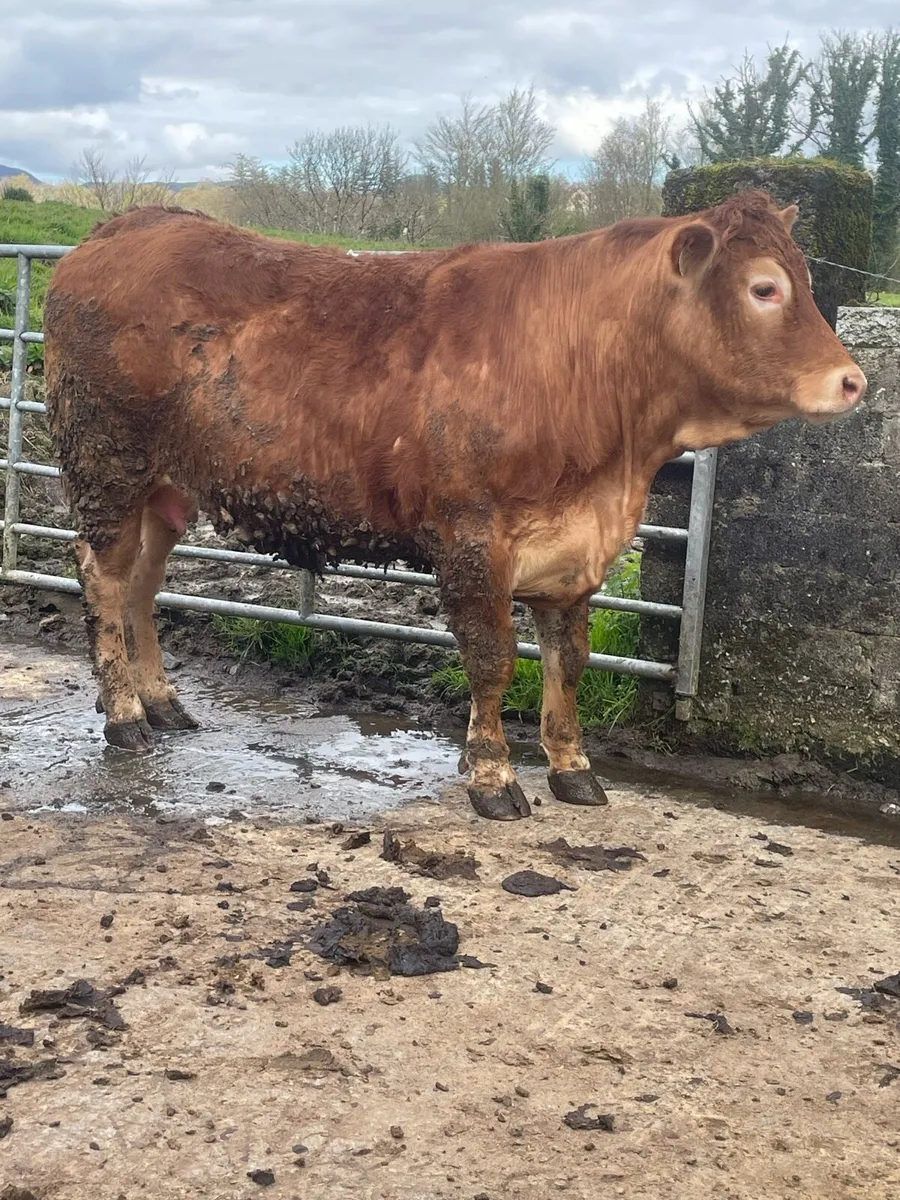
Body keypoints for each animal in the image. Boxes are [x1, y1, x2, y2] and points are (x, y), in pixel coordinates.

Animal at [42, 190, 866, 822]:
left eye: (805, 279)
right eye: (765, 287)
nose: (854, 380)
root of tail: (127, 223)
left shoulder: (573, 553)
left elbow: (568, 659)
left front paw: (572, 767)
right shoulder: (473, 537)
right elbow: (493, 659)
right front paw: (494, 775)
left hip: (166, 489)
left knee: (143, 584)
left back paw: (161, 703)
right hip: (106, 466)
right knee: (102, 577)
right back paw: (124, 716)